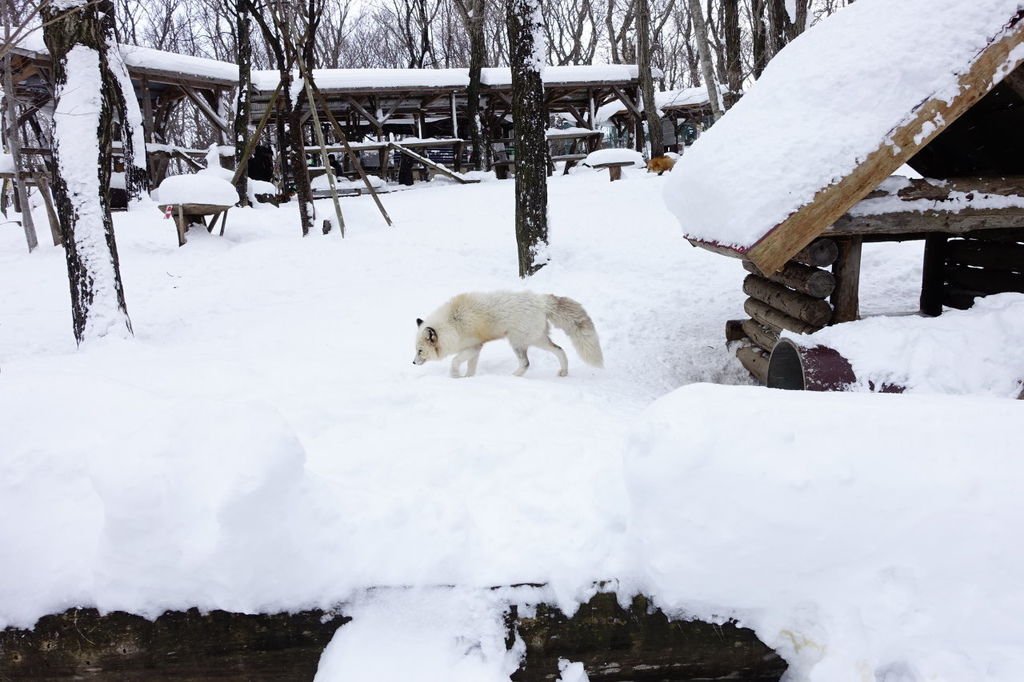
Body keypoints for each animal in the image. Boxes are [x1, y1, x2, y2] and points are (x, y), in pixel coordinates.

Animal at [411, 288, 602, 376]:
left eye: (420, 351)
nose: (412, 362)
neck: (453, 323)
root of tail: (540, 301)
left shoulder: (474, 347)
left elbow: (455, 361)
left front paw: (455, 376)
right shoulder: (474, 349)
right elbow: (471, 369)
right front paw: (468, 379)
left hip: (517, 343)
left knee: (526, 363)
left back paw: (513, 377)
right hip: (537, 340)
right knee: (560, 350)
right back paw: (563, 372)